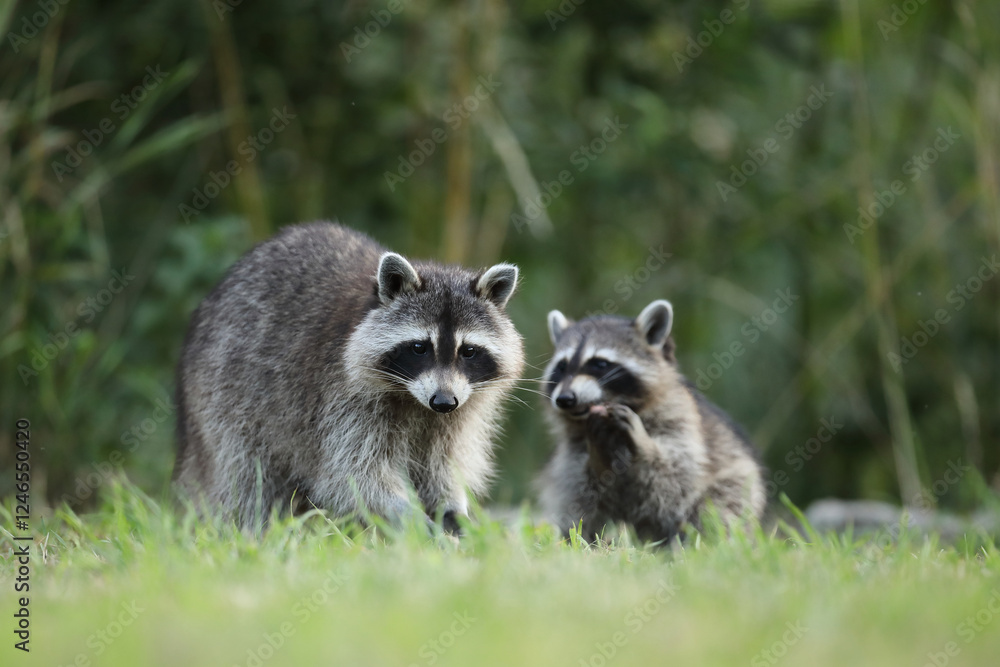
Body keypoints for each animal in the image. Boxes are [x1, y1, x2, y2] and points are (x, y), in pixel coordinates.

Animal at [174, 222, 524, 531]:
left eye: (469, 351)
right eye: (419, 348)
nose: (443, 402)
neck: (415, 401)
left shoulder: (458, 412)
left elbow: (442, 467)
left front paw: (452, 511)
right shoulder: (340, 398)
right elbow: (353, 475)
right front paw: (410, 517)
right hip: (225, 395)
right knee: (245, 476)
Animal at [537, 300, 764, 543]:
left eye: (599, 364)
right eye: (562, 366)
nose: (564, 399)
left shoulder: (680, 419)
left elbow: (678, 476)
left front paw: (644, 447)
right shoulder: (574, 446)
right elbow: (579, 486)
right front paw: (599, 459)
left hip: (737, 481)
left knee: (720, 507)